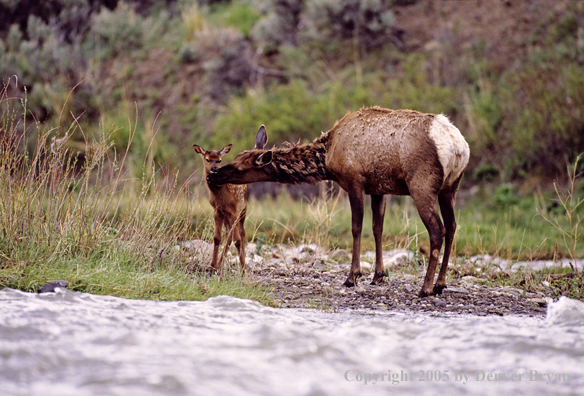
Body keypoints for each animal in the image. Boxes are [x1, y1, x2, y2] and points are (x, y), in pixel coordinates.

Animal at [206, 108, 470, 296]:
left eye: (240, 166)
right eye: (236, 156)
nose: (214, 174)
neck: (327, 157)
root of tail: (458, 146)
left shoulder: (354, 181)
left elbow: (356, 228)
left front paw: (352, 276)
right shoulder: (378, 188)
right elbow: (377, 228)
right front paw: (378, 275)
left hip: (421, 184)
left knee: (437, 229)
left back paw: (426, 288)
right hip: (450, 187)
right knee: (452, 226)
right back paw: (441, 284)